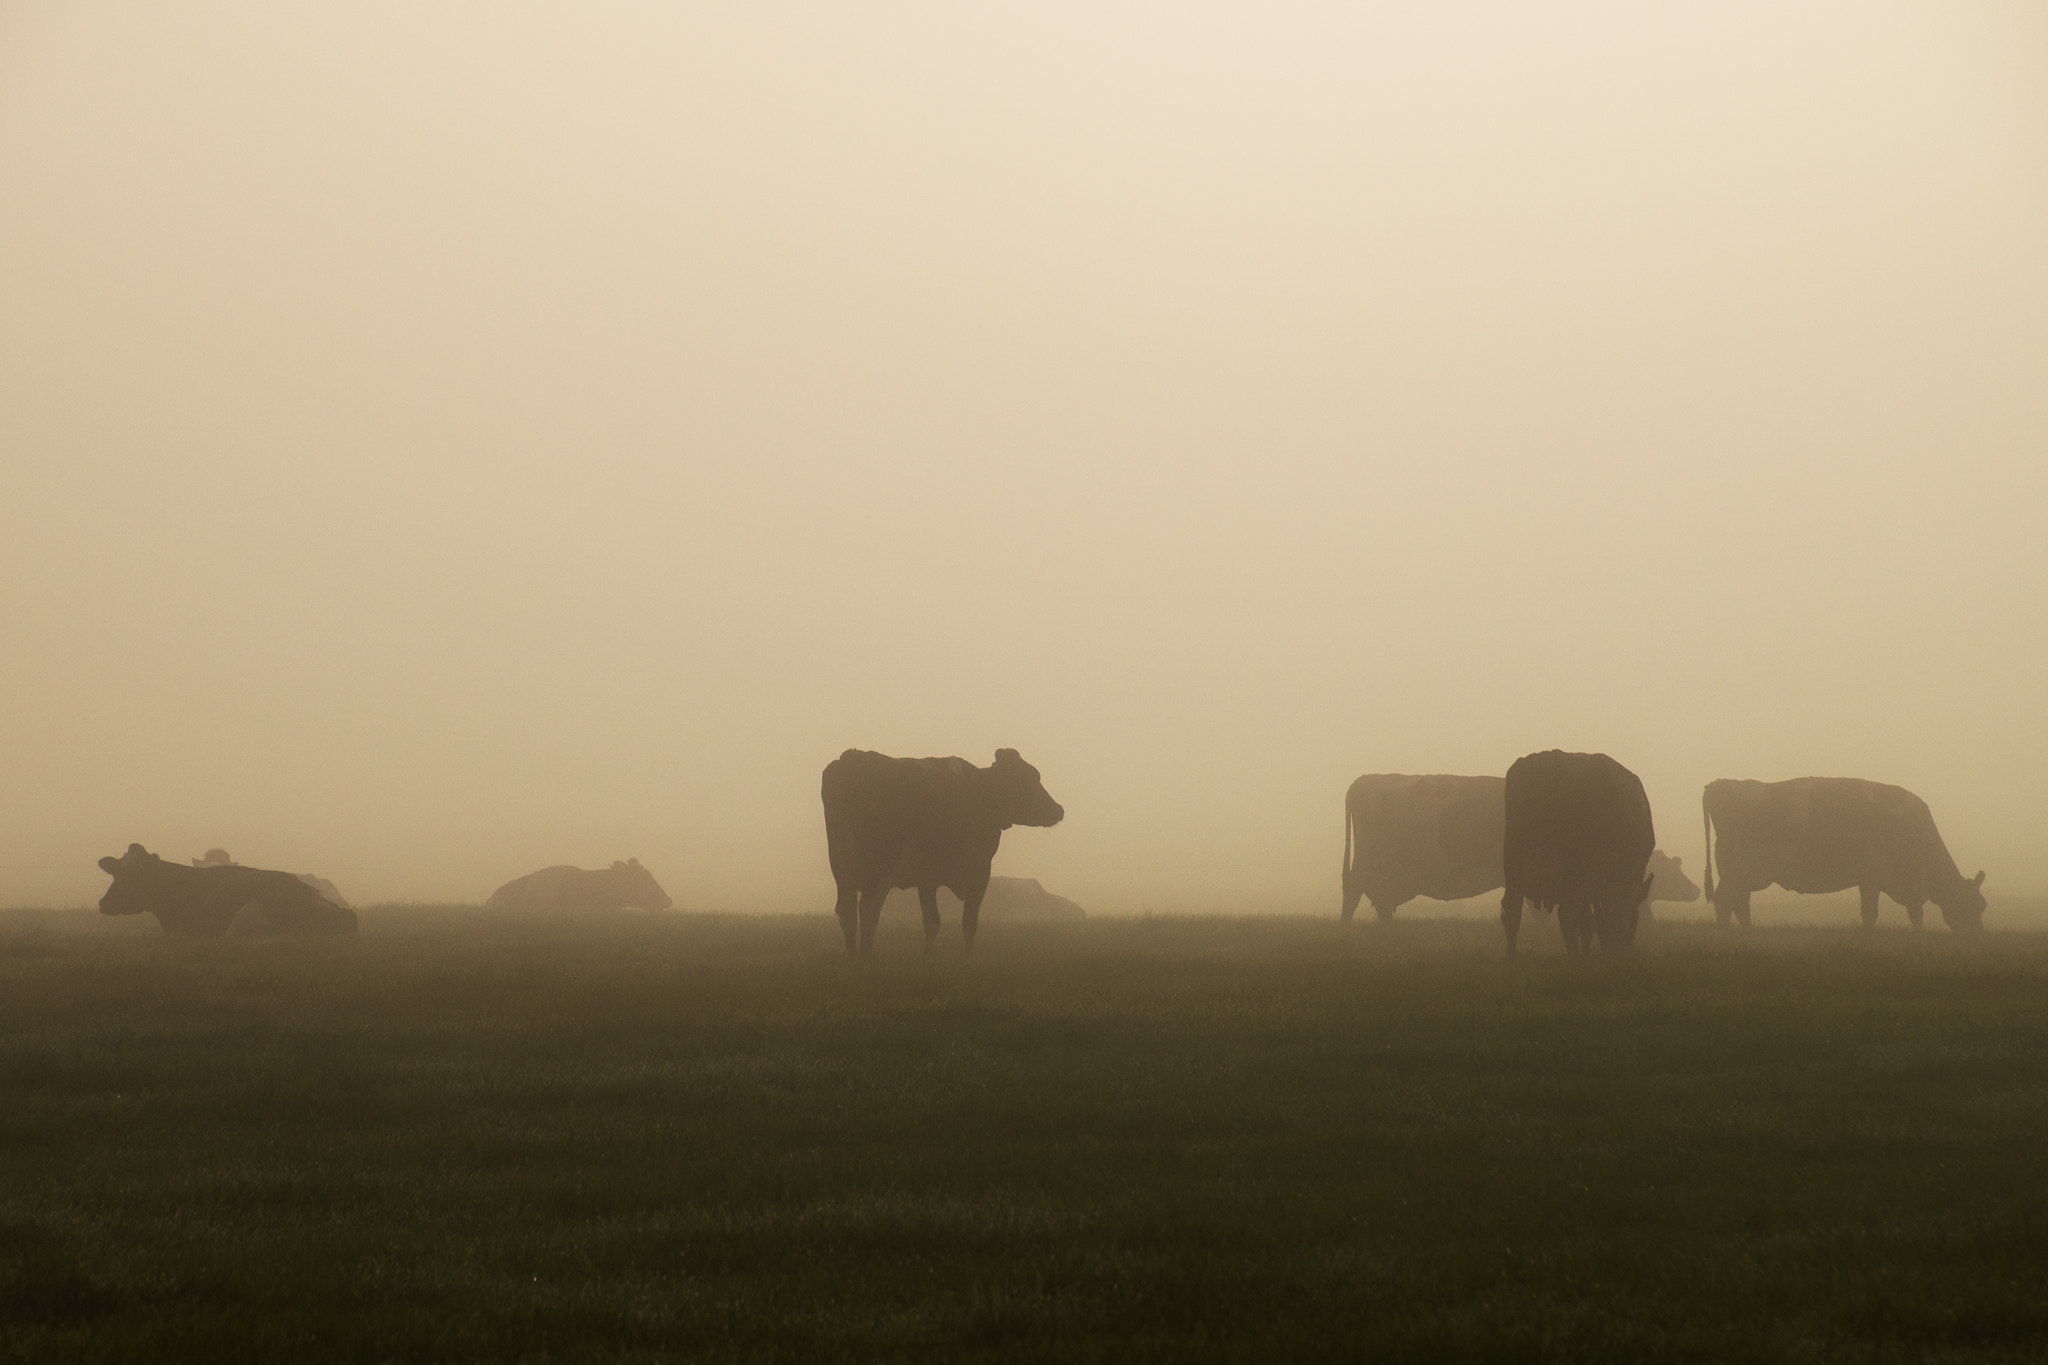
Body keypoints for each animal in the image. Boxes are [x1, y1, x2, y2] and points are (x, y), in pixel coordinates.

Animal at [822, 747, 1065, 954]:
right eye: (1031, 778)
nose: (1059, 810)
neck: (982, 793)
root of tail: (853, 758)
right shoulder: (980, 869)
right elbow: (969, 921)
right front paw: (969, 955)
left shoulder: (927, 878)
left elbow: (932, 921)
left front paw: (928, 955)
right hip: (879, 869)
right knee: (868, 910)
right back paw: (865, 956)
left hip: (841, 869)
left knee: (846, 911)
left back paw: (852, 956)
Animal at [1500, 750, 1655, 956]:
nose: (1629, 945)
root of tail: (1545, 760)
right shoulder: (1630, 879)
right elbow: (1618, 921)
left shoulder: (1589, 891)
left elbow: (1587, 923)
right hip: (1574, 869)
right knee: (1566, 915)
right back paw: (1574, 957)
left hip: (1513, 865)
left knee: (1511, 911)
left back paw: (1512, 956)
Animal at [1701, 778, 1986, 932]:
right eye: (1972, 905)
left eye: (1983, 906)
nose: (1977, 936)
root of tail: (1720, 784)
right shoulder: (1877, 879)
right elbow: (1884, 914)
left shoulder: (1886, 883)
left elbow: (1902, 913)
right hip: (1739, 869)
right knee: (1725, 900)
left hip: (1742, 873)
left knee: (1740, 903)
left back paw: (1747, 931)